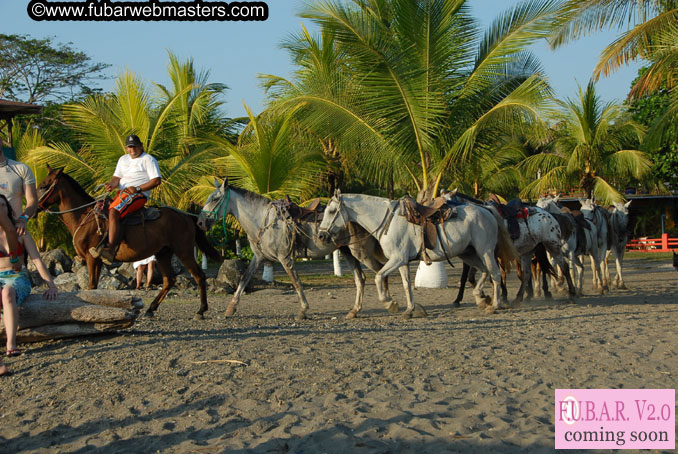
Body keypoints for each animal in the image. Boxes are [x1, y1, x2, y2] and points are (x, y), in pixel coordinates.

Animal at [37, 167, 220, 320]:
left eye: (44, 185)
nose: (34, 205)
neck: (84, 218)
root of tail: (186, 216)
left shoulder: (92, 258)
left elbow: (91, 286)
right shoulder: (96, 261)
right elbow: (94, 286)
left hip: (184, 251)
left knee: (199, 276)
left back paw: (201, 311)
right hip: (163, 252)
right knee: (169, 280)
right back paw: (150, 309)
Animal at [194, 179, 390, 320]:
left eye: (215, 199)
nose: (201, 222)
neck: (264, 220)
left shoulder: (285, 258)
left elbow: (296, 282)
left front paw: (303, 310)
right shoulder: (258, 257)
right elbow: (244, 279)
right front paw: (231, 308)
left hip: (361, 252)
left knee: (380, 271)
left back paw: (389, 303)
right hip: (348, 252)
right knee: (361, 278)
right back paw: (355, 311)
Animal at [316, 190, 516, 314]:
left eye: (331, 211)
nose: (320, 235)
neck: (387, 221)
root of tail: (486, 209)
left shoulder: (397, 259)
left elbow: (379, 277)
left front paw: (390, 304)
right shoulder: (402, 261)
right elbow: (406, 285)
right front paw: (409, 309)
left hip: (485, 251)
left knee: (495, 274)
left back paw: (494, 305)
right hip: (468, 253)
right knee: (485, 272)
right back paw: (481, 298)